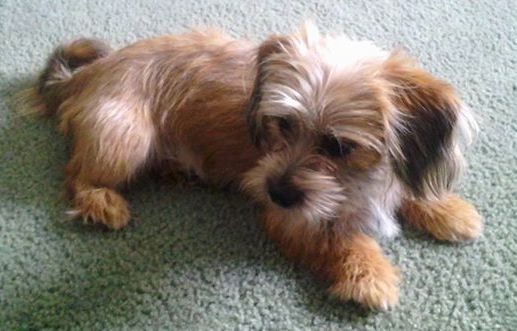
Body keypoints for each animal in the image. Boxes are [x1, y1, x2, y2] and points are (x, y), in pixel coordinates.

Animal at [28, 23, 480, 312]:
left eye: (338, 146)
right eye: (282, 123)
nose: (276, 192)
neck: (356, 184)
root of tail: (86, 74)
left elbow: (408, 188)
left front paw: (446, 209)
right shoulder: (293, 218)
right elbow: (341, 240)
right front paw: (369, 276)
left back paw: (176, 171)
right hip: (125, 137)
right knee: (74, 175)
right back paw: (102, 202)